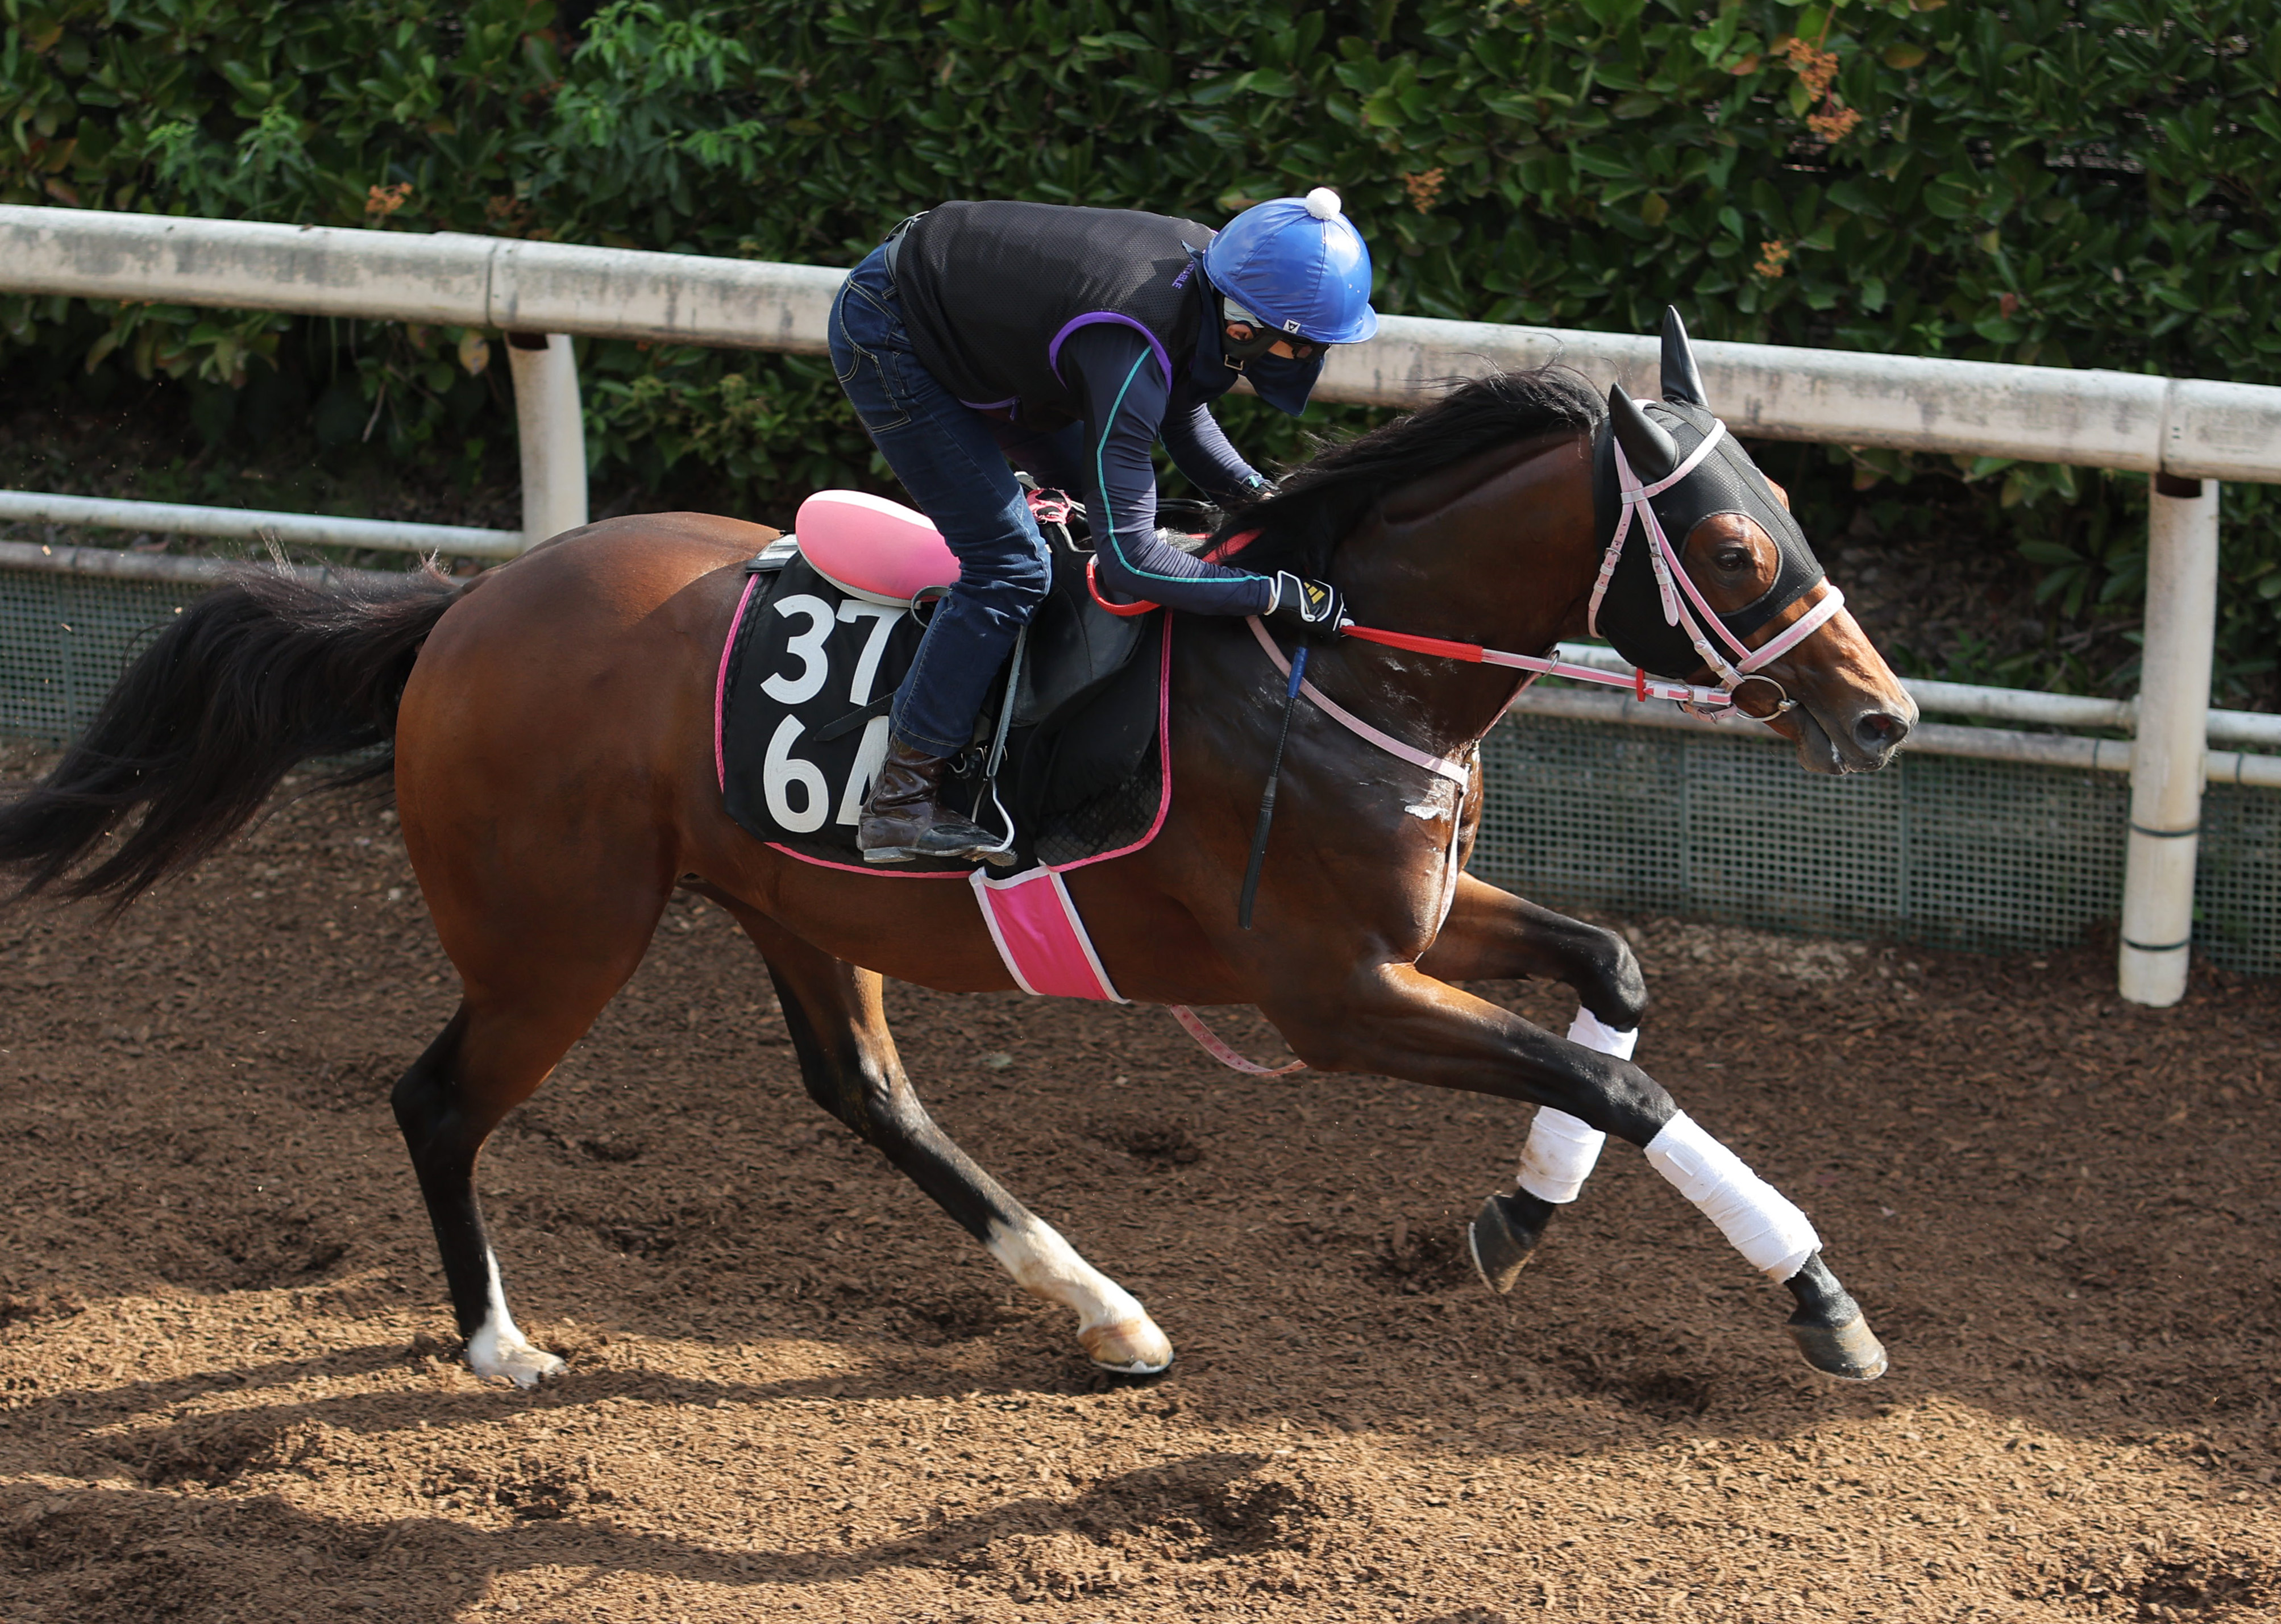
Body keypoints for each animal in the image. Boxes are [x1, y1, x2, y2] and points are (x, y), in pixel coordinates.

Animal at [0, 318, 1916, 1391]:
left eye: (1787, 516)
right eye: (1733, 551)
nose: (1883, 715)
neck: (1332, 662)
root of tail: (467, 608)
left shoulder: (1414, 927)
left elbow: (1612, 979)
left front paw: (1515, 1215)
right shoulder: (1328, 993)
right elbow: (1618, 1080)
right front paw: (1816, 1300)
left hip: (789, 897)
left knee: (864, 1094)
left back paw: (1100, 1310)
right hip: (558, 935)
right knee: (438, 1101)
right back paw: (494, 1341)